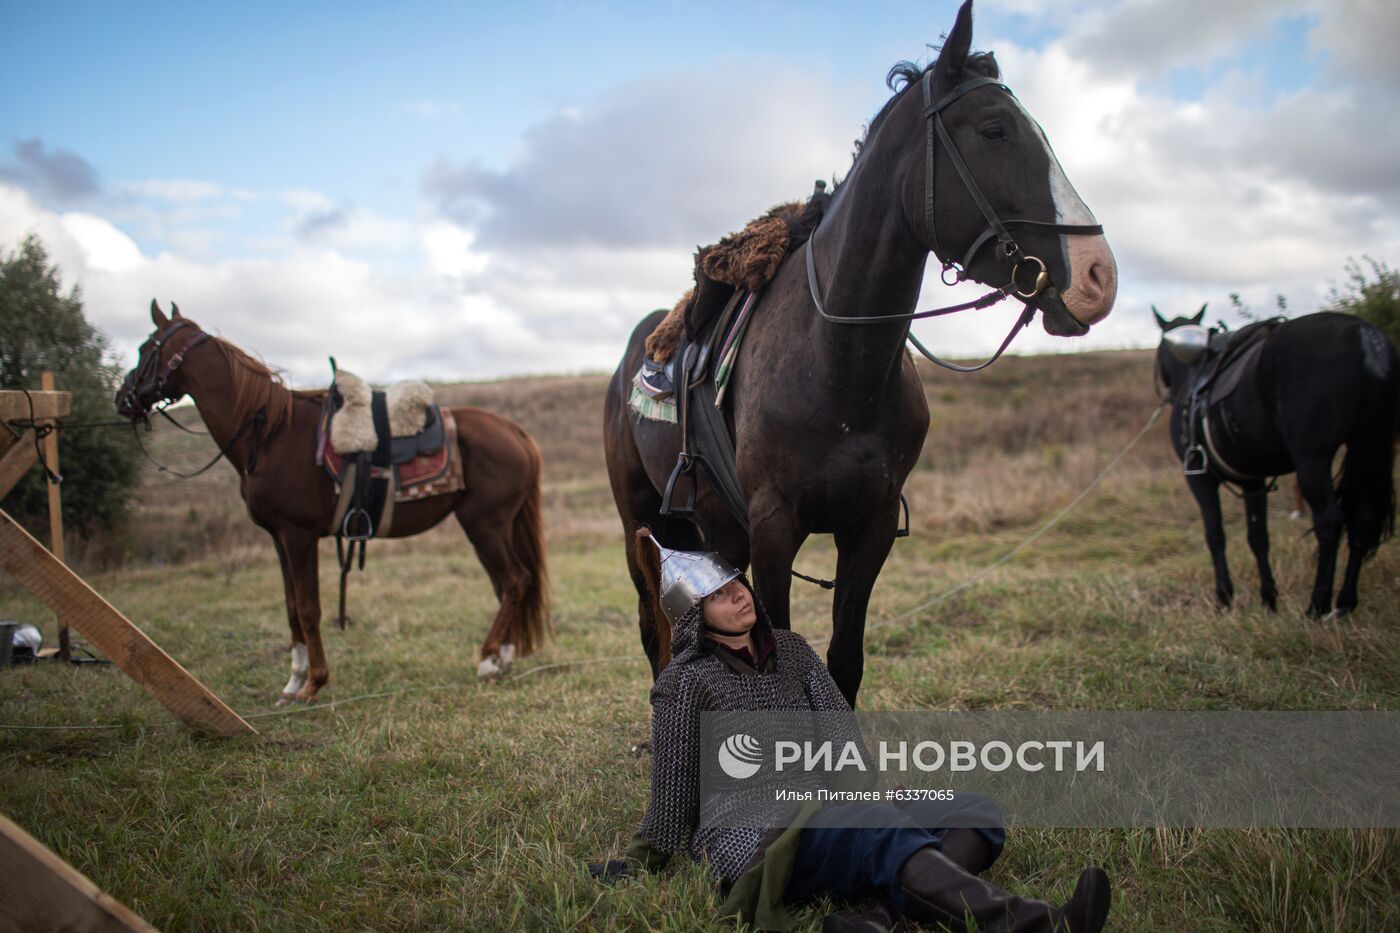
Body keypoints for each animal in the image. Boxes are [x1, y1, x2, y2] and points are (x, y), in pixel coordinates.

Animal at [117, 301, 548, 700]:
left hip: (484, 524)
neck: (270, 434)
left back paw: (487, 660)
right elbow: (291, 607)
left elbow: (309, 608)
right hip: (494, 526)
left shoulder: (299, 535)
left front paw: (314, 683)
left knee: (514, 581)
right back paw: (502, 659)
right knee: (510, 585)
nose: (123, 398)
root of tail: (516, 431)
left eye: (145, 348)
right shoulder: (279, 539)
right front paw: (293, 682)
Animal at [602, 0, 1114, 700]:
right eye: (995, 131)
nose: (1098, 274)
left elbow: (843, 660)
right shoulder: (774, 529)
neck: (840, 364)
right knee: (653, 627)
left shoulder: (868, 528)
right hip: (643, 524)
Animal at [1153, 301, 1394, 613]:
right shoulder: (1253, 481)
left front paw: (1224, 598)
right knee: (1364, 518)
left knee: (1329, 520)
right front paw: (1268, 598)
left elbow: (1215, 535)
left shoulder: (1198, 476)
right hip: (1368, 448)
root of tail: (1367, 337)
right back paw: (1344, 603)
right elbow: (1258, 537)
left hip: (1312, 460)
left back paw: (1317, 606)